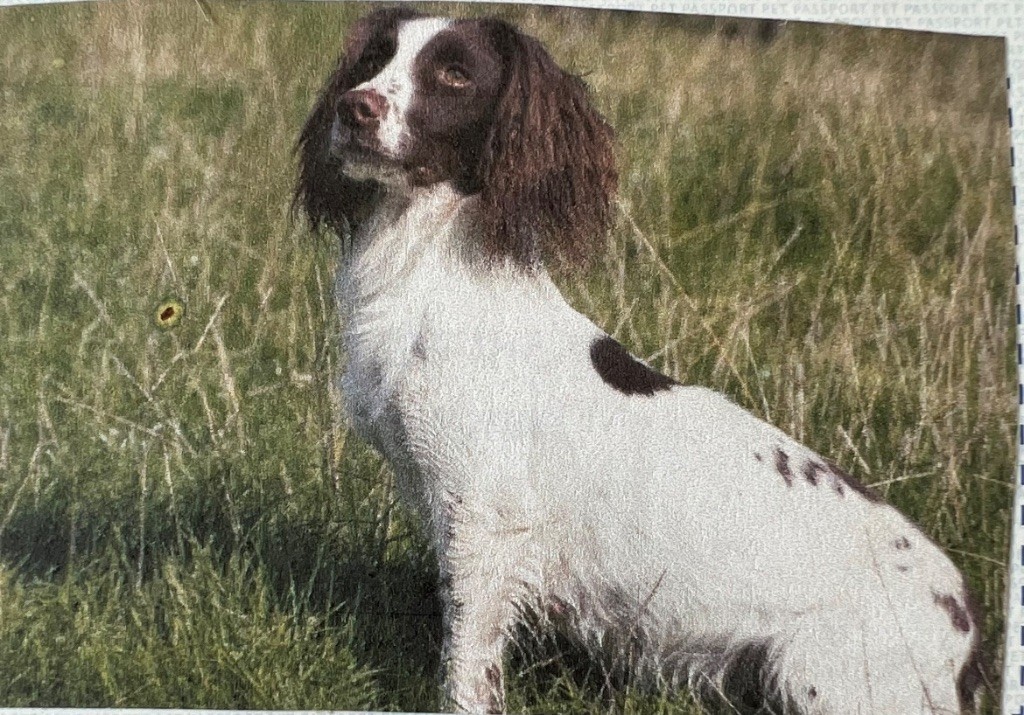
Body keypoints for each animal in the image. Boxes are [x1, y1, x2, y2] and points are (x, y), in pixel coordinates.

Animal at [294, 9, 983, 713]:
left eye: (455, 74)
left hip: (815, 673)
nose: (354, 109)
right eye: (373, 59)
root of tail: (963, 632)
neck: (432, 277)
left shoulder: (484, 518)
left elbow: (467, 660)